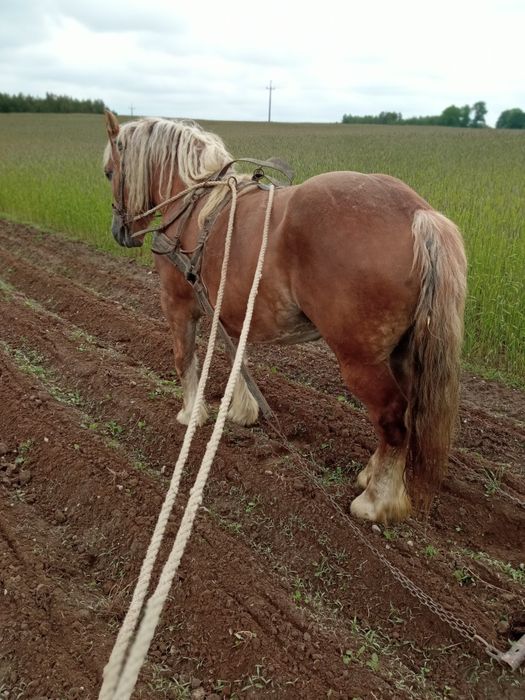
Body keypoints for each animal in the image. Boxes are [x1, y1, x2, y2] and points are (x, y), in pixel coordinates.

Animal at [103, 110, 466, 524]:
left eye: (109, 172)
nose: (120, 231)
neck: (193, 205)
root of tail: (417, 214)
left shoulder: (177, 305)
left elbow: (184, 359)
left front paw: (192, 414)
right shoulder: (231, 309)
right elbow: (237, 358)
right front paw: (241, 410)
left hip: (360, 358)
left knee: (392, 417)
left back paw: (376, 501)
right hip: (401, 351)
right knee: (404, 412)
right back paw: (371, 475)